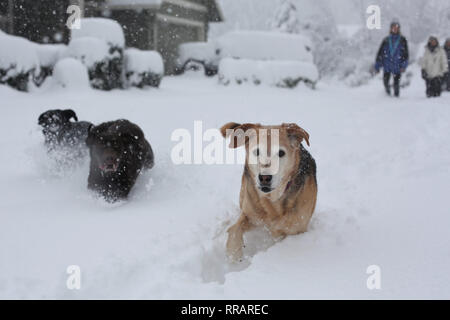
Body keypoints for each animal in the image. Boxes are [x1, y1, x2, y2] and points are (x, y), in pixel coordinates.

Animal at [221, 121, 318, 262]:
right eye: (257, 151)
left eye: (281, 153)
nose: (264, 177)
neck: (272, 201)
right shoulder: (251, 215)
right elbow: (234, 229)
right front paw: (235, 255)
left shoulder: (296, 229)